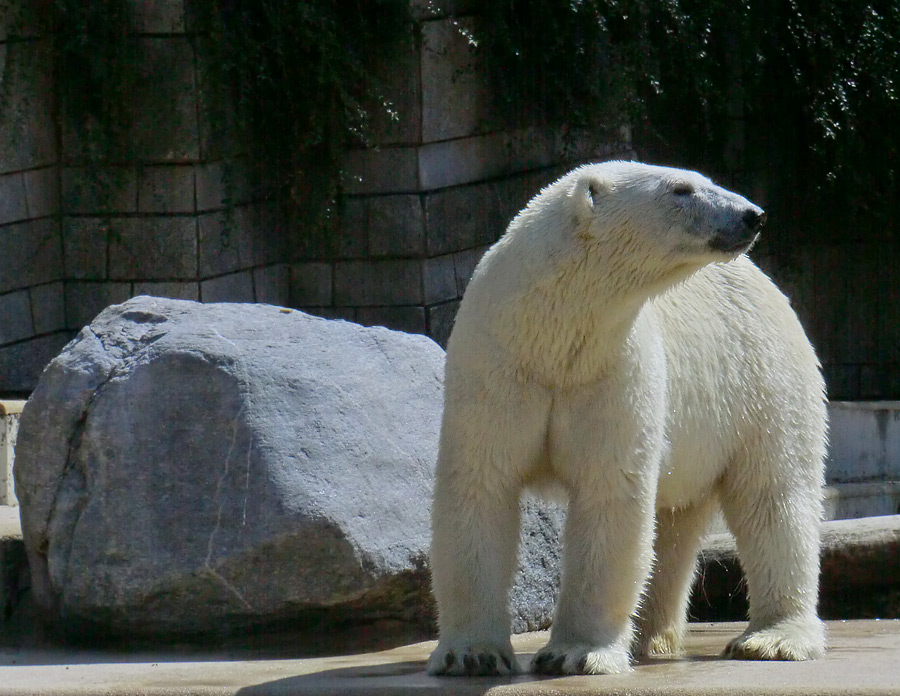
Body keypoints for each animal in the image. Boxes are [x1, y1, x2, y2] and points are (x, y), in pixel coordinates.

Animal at [426, 162, 828, 676]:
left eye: (698, 180)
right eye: (681, 189)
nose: (751, 215)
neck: (552, 334)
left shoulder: (615, 368)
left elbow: (609, 492)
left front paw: (576, 654)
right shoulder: (496, 368)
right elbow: (479, 485)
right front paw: (472, 655)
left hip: (760, 380)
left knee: (773, 496)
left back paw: (772, 639)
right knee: (675, 523)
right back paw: (653, 637)